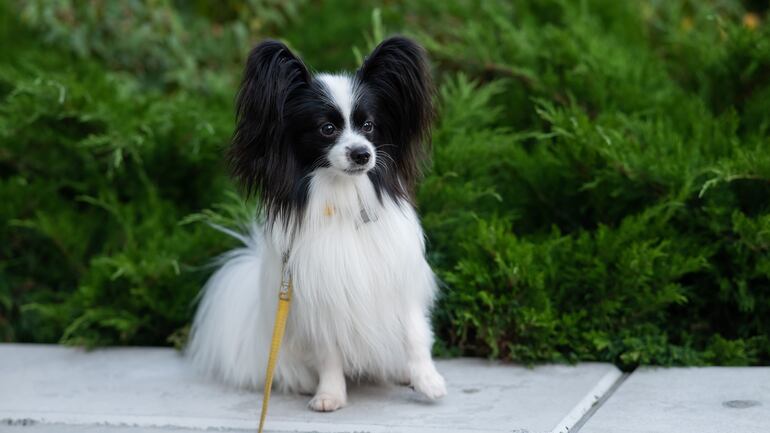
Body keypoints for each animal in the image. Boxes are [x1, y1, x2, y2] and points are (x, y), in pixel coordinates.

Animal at [187, 36, 448, 408]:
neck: (344, 199)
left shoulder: (400, 283)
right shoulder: (319, 298)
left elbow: (415, 335)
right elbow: (329, 353)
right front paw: (330, 394)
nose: (362, 154)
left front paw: (428, 381)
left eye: (368, 126)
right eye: (327, 129)